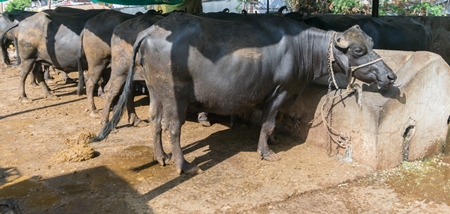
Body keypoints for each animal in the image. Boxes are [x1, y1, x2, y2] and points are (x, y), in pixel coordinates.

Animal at [93, 12, 396, 174]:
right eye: (358, 50)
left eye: (372, 44)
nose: (390, 76)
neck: (301, 48)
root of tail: (151, 31)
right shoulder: (279, 91)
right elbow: (268, 121)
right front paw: (266, 150)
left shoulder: (285, 94)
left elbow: (275, 122)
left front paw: (272, 141)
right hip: (174, 95)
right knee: (173, 127)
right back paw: (183, 164)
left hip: (156, 91)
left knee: (155, 121)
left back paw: (161, 157)